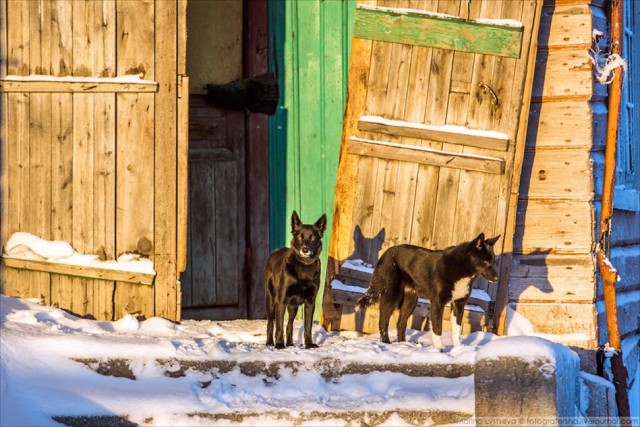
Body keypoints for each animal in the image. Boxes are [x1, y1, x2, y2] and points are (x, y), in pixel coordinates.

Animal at [356, 234, 500, 352]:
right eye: (486, 261)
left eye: (493, 261)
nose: (497, 278)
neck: (461, 269)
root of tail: (386, 253)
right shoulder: (437, 303)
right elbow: (438, 328)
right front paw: (439, 349)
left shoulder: (459, 304)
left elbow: (456, 330)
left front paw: (459, 349)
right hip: (392, 296)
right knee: (383, 322)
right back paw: (387, 343)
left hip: (411, 300)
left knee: (401, 323)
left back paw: (403, 344)